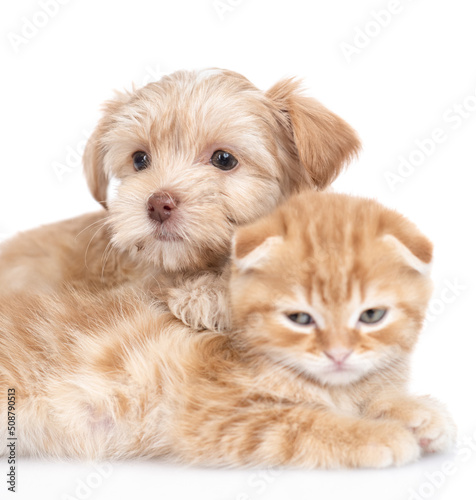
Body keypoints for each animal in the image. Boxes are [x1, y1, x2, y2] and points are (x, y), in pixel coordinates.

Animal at [0, 192, 454, 468]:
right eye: (300, 318)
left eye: (371, 315)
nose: (338, 353)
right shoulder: (213, 417)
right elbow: (303, 422)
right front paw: (379, 434)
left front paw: (415, 411)